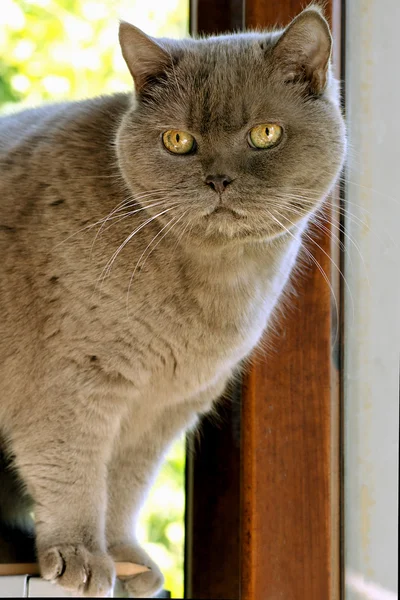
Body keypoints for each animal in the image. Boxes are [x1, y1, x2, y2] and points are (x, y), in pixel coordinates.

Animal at [0, 5, 344, 600]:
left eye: (265, 134)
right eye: (178, 140)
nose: (219, 180)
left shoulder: (165, 407)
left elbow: (125, 485)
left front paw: (125, 557)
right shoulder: (68, 383)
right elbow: (71, 471)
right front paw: (80, 556)